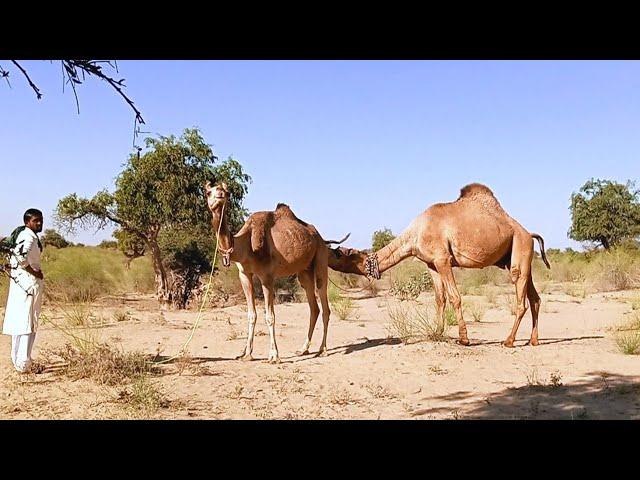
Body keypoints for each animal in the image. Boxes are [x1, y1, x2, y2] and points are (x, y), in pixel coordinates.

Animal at [206, 182, 350, 362]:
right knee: (314, 307)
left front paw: (274, 355)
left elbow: (270, 316)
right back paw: (303, 349)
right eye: (208, 192)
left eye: (226, 191)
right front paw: (246, 354)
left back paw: (322, 349)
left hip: (320, 258)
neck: (245, 245)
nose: (219, 194)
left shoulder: (267, 276)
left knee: (324, 304)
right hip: (304, 271)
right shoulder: (244, 275)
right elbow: (251, 314)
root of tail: (322, 238)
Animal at [330, 182, 552, 346]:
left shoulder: (443, 259)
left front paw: (464, 339)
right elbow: (439, 299)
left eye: (340, 254)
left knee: (521, 297)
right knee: (535, 298)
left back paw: (509, 341)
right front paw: (438, 332)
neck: (416, 233)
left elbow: (455, 297)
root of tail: (529, 233)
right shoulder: (431, 264)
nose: (330, 253)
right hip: (519, 256)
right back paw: (533, 341)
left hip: (520, 247)